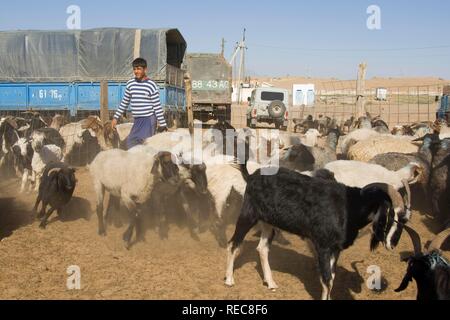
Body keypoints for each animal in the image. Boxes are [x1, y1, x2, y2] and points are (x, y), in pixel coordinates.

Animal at [227, 162, 414, 300]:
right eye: (391, 215)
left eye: (405, 219)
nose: (392, 244)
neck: (349, 207)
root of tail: (251, 176)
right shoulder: (323, 246)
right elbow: (327, 280)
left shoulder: (335, 249)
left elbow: (332, 276)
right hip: (248, 214)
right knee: (233, 244)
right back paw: (229, 280)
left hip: (268, 222)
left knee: (262, 248)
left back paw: (271, 283)